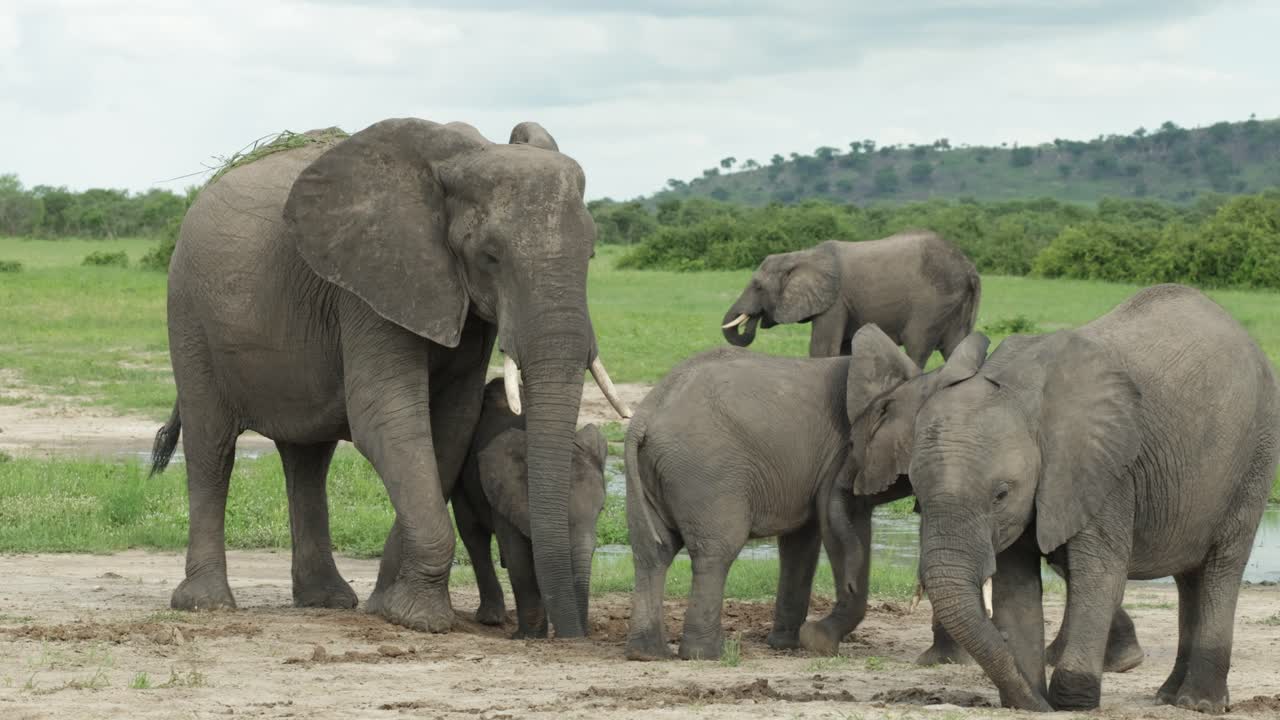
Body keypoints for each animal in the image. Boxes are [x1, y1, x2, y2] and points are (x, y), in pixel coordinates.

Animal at [453, 379, 608, 638]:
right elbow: (519, 557)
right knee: (473, 534)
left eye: (601, 512)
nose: (582, 635)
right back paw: (491, 619)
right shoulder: (505, 493)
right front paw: (527, 637)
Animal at [623, 326, 992, 661]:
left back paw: (648, 654)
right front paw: (819, 641)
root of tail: (647, 413)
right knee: (716, 552)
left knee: (653, 552)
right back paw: (708, 655)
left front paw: (787, 645)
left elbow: (802, 541)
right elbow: (842, 524)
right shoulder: (840, 455)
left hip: (653, 472)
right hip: (706, 471)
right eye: (852, 442)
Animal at [721, 231, 980, 366]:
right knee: (957, 348)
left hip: (932, 303)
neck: (801, 255)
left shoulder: (835, 301)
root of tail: (969, 268)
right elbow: (845, 349)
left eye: (758, 286)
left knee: (916, 346)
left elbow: (822, 348)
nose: (753, 317)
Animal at [906, 284, 1279, 713]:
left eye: (1000, 494)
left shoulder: (1104, 470)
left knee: (1223, 564)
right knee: (1190, 576)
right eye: (916, 496)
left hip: (1256, 453)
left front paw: (1071, 702)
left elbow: (1098, 576)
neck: (1020, 390)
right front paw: (1032, 700)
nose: (1039, 702)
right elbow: (1016, 590)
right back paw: (1170, 697)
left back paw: (1198, 704)